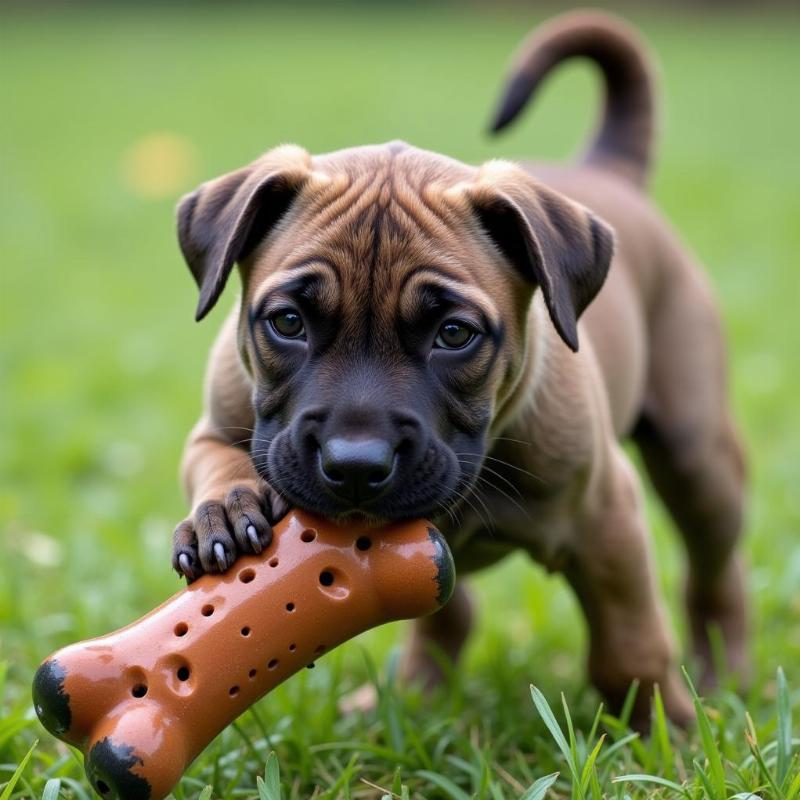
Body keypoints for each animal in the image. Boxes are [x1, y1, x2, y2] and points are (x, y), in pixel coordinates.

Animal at [172, 10, 748, 724]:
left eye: (454, 334)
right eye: (287, 323)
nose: (354, 466)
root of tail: (608, 172)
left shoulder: (608, 514)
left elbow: (629, 647)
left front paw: (665, 731)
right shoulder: (215, 426)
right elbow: (219, 459)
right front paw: (226, 508)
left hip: (698, 458)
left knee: (716, 569)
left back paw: (727, 671)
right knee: (450, 614)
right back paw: (412, 694)